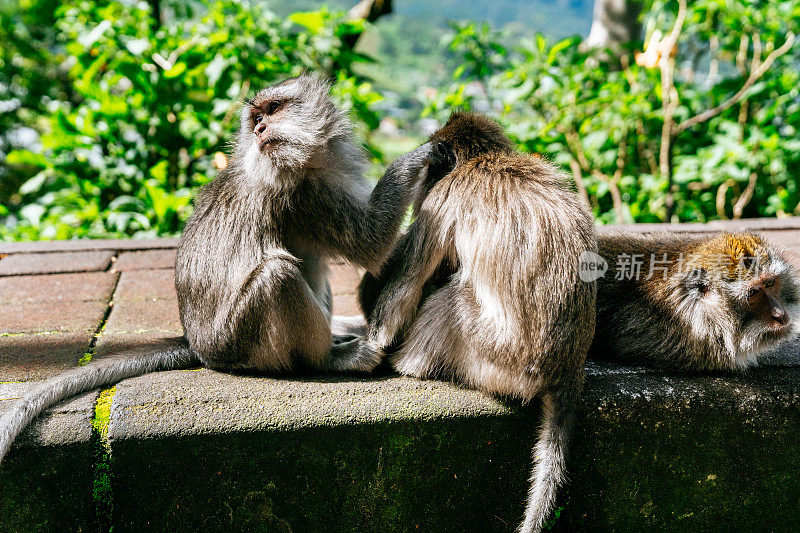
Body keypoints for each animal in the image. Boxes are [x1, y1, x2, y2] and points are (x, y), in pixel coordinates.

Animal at [0, 75, 434, 462]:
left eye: (273, 109)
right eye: (256, 117)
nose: (259, 127)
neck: (311, 161)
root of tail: (198, 344)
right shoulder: (309, 196)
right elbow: (372, 242)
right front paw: (425, 152)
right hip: (236, 340)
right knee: (277, 276)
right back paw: (330, 358)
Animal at [354, 113, 592, 532]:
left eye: (433, 173)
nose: (425, 179)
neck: (487, 161)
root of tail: (566, 368)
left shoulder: (443, 198)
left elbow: (405, 290)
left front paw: (374, 345)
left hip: (496, 357)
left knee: (448, 301)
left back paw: (408, 363)